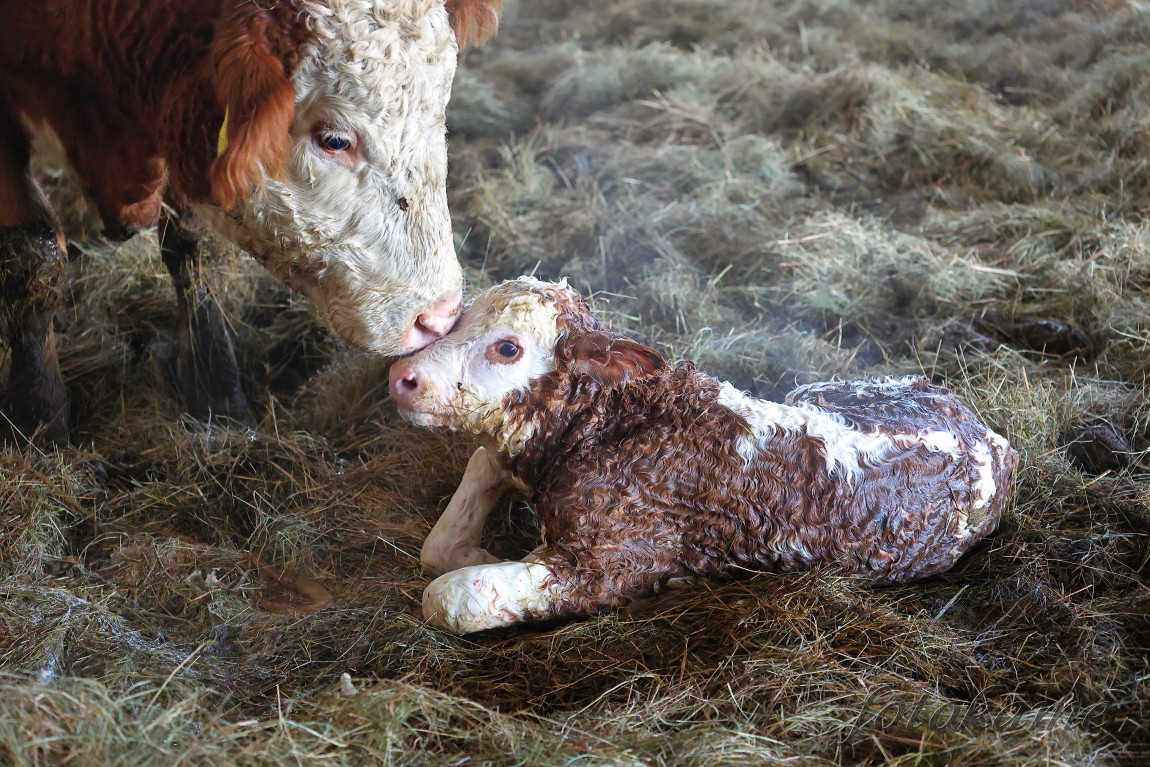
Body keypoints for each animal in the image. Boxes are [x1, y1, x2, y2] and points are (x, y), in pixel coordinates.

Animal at [391, 279, 1021, 634]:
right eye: (461, 317)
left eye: (508, 348)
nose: (403, 377)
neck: (614, 424)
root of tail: (990, 436)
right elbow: (458, 508)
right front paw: (472, 547)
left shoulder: (612, 561)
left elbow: (453, 595)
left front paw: (477, 562)